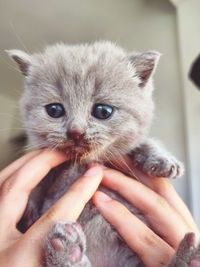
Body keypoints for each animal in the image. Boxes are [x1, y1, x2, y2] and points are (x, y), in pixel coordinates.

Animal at [6, 42, 200, 267]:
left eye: (103, 111)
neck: (81, 163)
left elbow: (140, 143)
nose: (75, 132)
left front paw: (162, 160)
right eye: (54, 110)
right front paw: (29, 210)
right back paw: (67, 252)